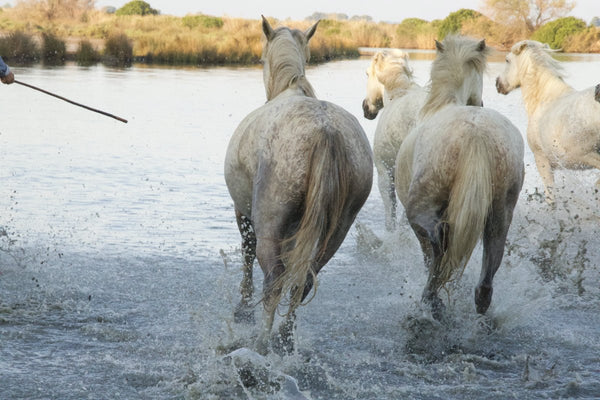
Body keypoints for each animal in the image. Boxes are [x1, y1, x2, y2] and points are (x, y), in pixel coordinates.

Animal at [225, 16, 372, 354]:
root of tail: (325, 132)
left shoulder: (243, 212)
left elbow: (246, 252)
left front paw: (243, 308)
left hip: (271, 223)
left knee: (274, 279)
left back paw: (262, 343)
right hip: (337, 229)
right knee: (304, 279)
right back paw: (284, 339)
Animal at [398, 36, 524, 318]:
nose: (481, 102)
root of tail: (476, 136)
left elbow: (429, 254)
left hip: (421, 204)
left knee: (438, 242)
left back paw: (432, 300)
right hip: (500, 212)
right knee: (488, 272)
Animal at [494, 40, 600, 205]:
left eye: (507, 60)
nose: (498, 84)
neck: (544, 99)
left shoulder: (542, 160)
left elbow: (551, 198)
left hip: (586, 155)